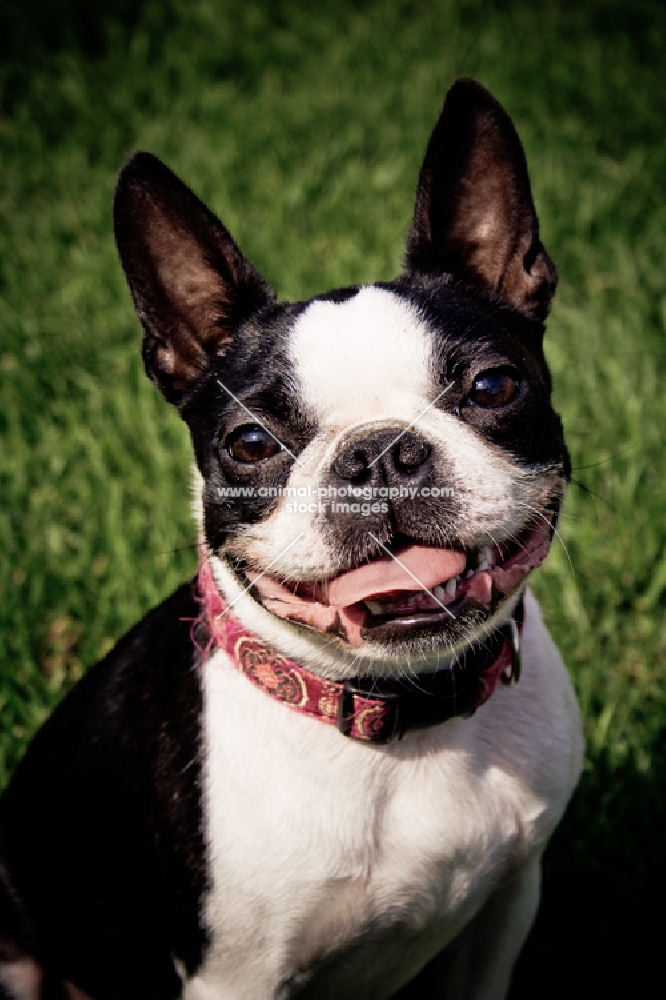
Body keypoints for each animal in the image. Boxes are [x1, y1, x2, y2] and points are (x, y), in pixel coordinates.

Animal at [0, 80, 580, 1000]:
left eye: (494, 386)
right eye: (249, 443)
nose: (379, 452)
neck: (405, 713)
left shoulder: (506, 903)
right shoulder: (235, 980)